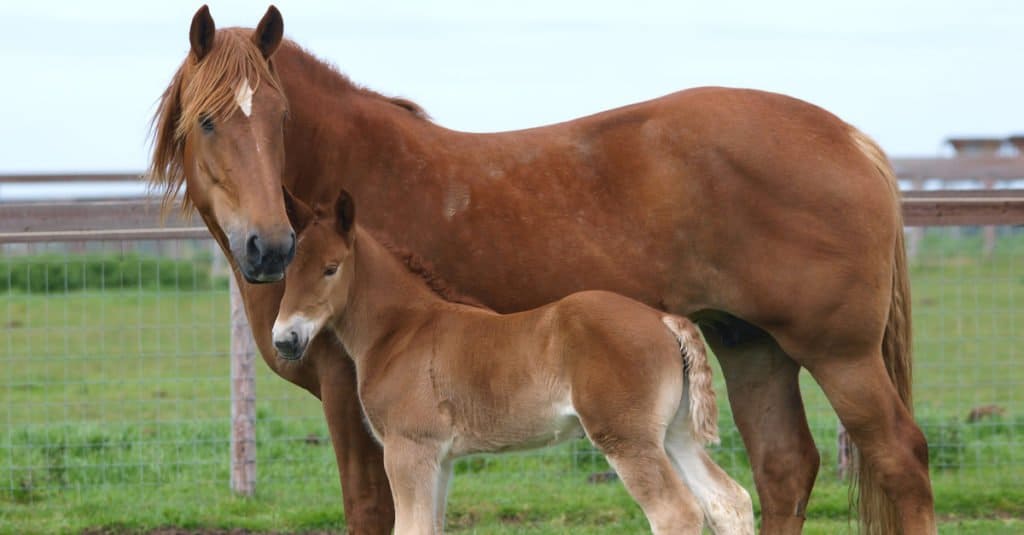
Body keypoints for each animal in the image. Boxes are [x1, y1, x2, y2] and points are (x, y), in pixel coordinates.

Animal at [272, 189, 753, 528]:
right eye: (287, 268)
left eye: (331, 268)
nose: (285, 339)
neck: (403, 330)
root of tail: (663, 319)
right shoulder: (441, 459)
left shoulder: (409, 450)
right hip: (674, 434)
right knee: (729, 501)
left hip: (627, 439)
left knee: (677, 514)